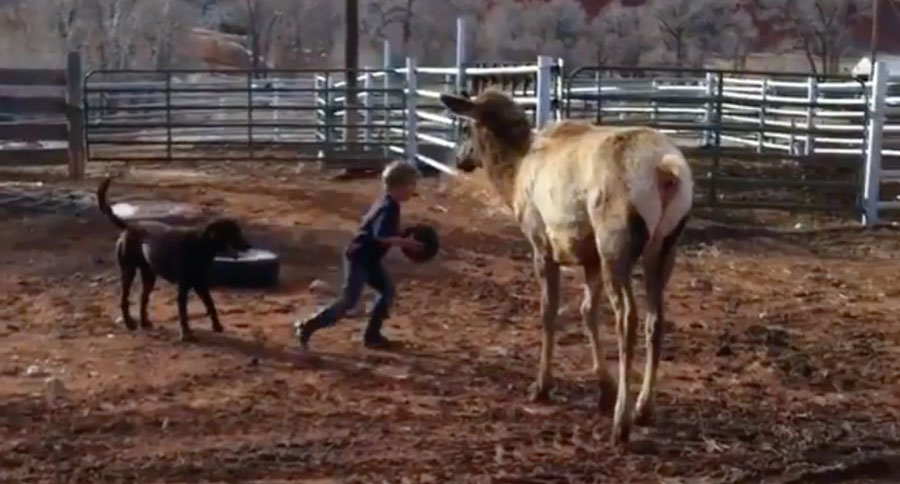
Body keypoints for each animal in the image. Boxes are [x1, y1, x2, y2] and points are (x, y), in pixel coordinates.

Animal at [97, 177, 251, 340]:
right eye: (232, 231)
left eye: (239, 230)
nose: (249, 245)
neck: (201, 244)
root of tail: (129, 226)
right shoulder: (183, 286)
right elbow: (183, 312)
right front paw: (186, 333)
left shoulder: (200, 283)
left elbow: (210, 304)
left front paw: (217, 325)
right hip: (128, 271)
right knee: (124, 300)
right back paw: (129, 323)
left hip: (149, 276)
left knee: (143, 299)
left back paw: (145, 322)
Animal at [440, 89, 692, 444]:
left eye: (465, 127)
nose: (461, 160)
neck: (513, 177)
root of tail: (667, 171)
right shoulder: (590, 258)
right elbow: (587, 312)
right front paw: (603, 388)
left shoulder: (541, 243)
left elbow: (549, 310)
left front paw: (541, 386)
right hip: (666, 245)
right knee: (655, 319)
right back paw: (644, 408)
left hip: (614, 241)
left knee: (627, 316)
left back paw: (622, 421)